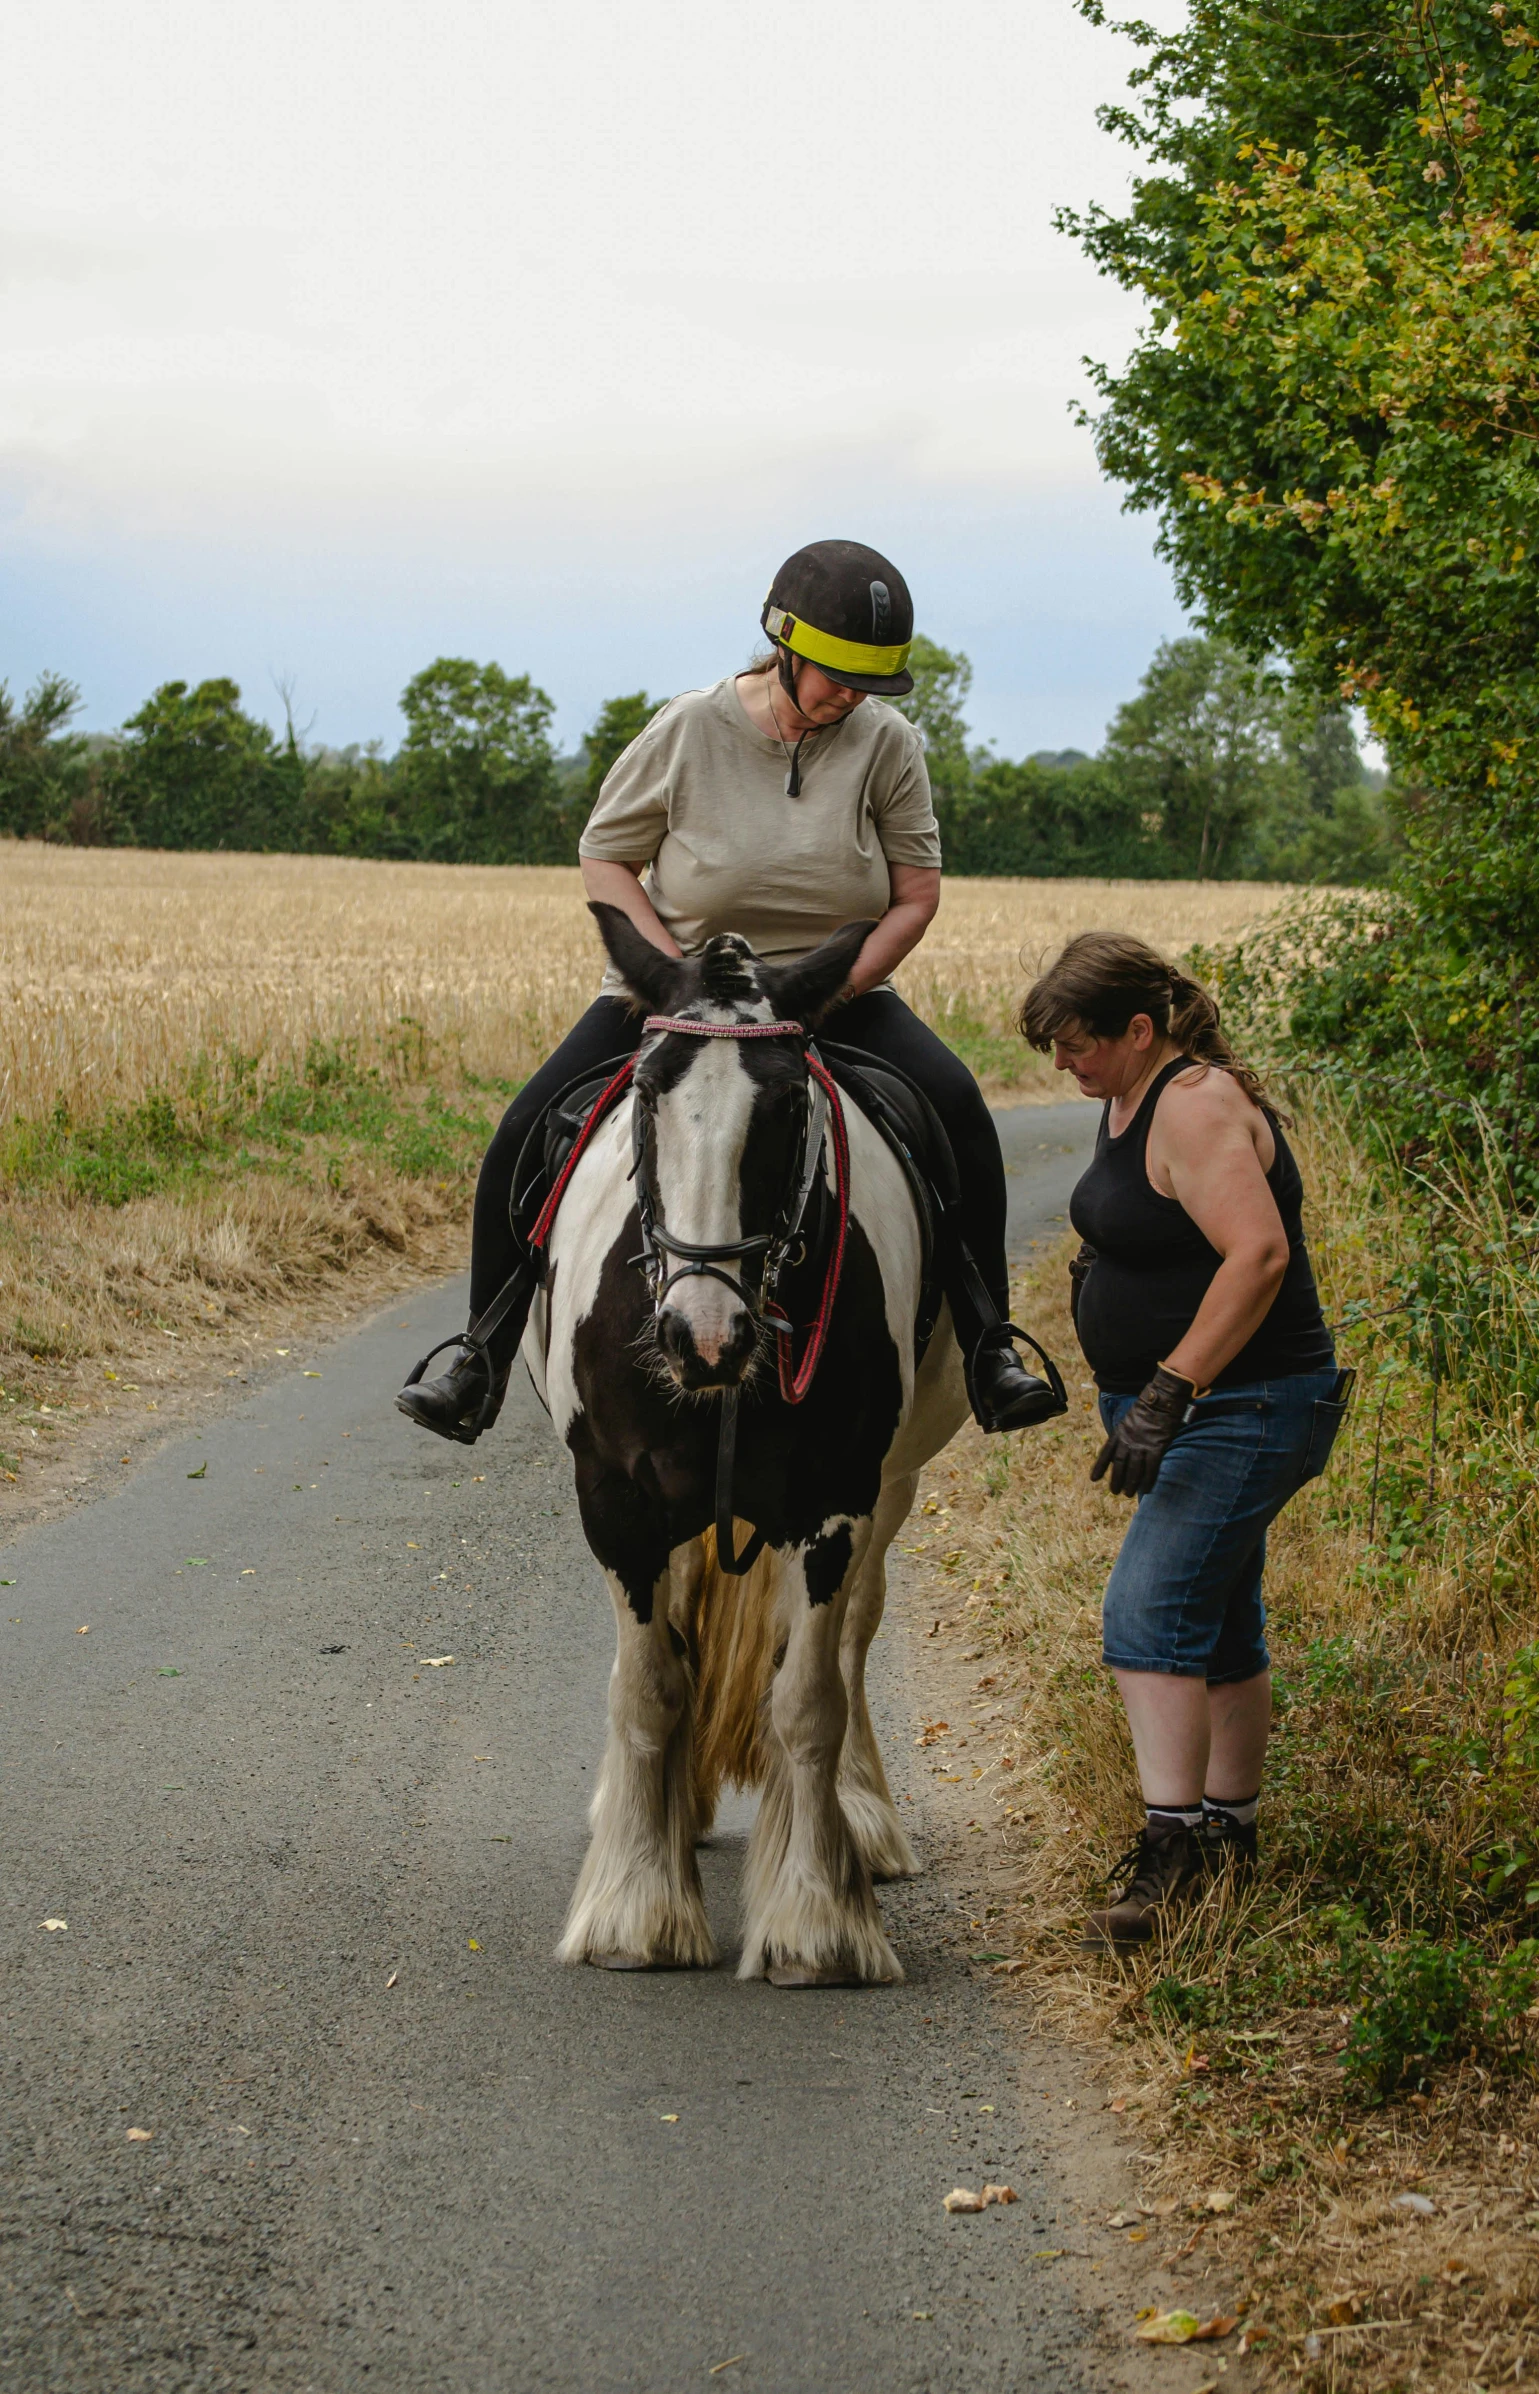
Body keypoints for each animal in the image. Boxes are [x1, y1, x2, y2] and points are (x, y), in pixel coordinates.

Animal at [524, 904, 971, 1991]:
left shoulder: (837, 1498)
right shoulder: (617, 1501)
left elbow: (806, 1697)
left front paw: (818, 1921)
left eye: (788, 1107)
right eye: (646, 1098)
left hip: (892, 1487)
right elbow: (649, 1687)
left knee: (846, 1644)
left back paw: (861, 1821)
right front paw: (636, 1910)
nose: (703, 1336)